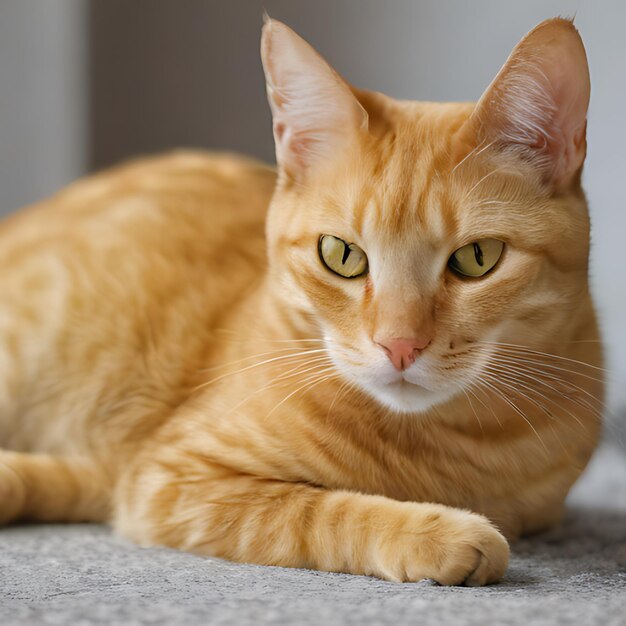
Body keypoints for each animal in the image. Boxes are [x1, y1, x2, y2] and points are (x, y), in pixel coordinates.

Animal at [1, 18, 604, 584]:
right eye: (341, 254)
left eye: (477, 258)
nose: (400, 346)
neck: (440, 448)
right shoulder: (174, 478)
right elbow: (320, 511)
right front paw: (435, 533)